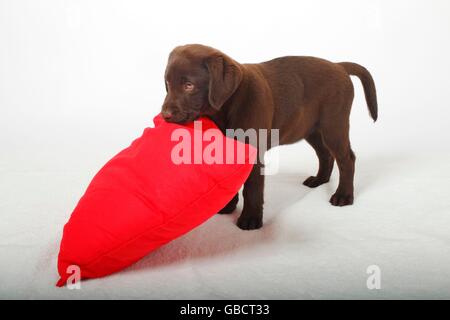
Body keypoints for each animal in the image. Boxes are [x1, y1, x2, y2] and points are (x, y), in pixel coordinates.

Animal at [160, 44, 378, 230]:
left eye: (189, 85)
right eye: (168, 84)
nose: (165, 115)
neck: (228, 106)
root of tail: (339, 66)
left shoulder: (254, 152)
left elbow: (252, 187)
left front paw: (250, 219)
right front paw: (228, 206)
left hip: (334, 124)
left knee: (346, 159)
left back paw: (343, 196)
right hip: (311, 129)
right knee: (325, 155)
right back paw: (319, 180)